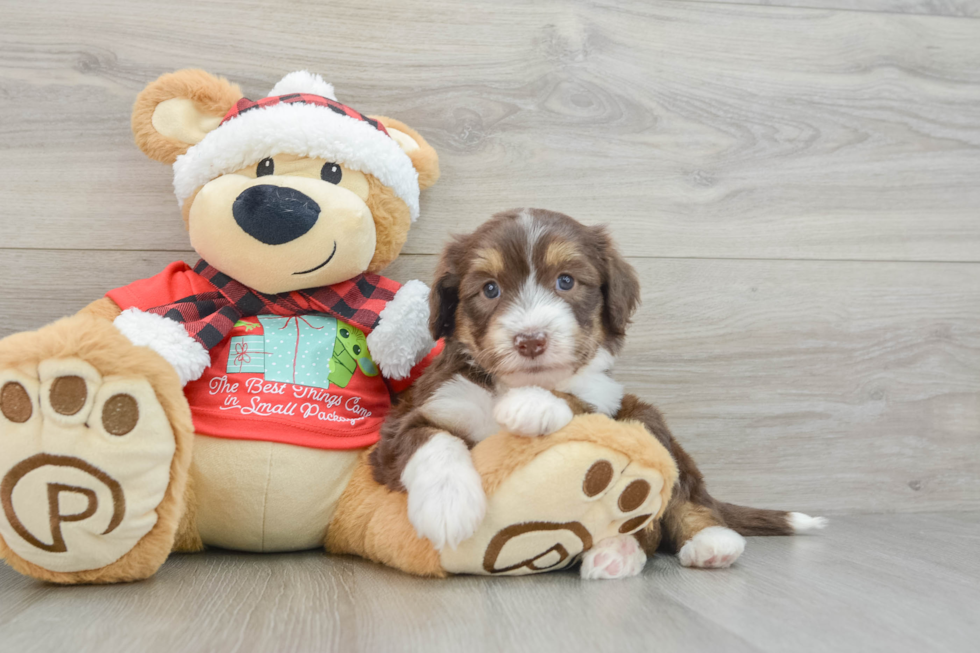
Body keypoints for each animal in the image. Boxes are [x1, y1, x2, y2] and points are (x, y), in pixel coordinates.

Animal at [372, 209, 824, 580]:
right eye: (489, 289)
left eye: (566, 281)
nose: (531, 340)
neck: (508, 382)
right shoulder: (417, 413)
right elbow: (431, 439)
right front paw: (448, 506)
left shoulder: (607, 401)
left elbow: (581, 403)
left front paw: (533, 404)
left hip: (651, 421)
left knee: (676, 504)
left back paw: (697, 543)